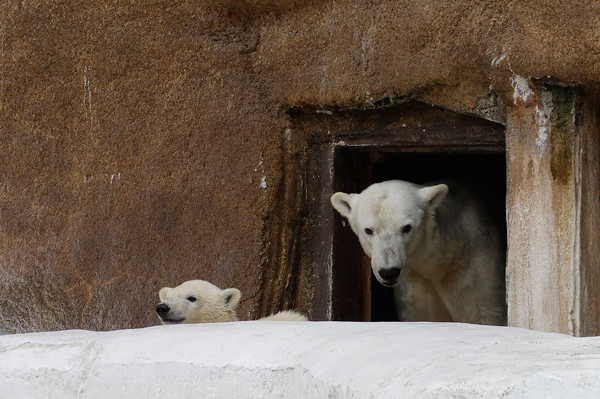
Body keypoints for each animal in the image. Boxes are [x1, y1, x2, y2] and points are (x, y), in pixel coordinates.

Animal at [332, 181, 506, 328]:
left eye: (407, 227)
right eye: (368, 230)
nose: (389, 272)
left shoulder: (475, 275)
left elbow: (482, 313)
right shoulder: (416, 289)